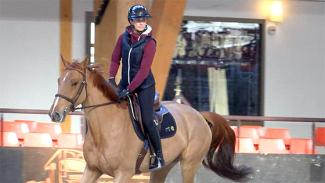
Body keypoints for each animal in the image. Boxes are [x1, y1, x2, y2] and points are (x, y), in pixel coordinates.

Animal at [49, 58, 251, 183]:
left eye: (74, 82)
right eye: (59, 80)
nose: (54, 114)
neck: (107, 129)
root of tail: (199, 115)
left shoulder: (123, 173)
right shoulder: (92, 170)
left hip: (189, 164)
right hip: (163, 168)